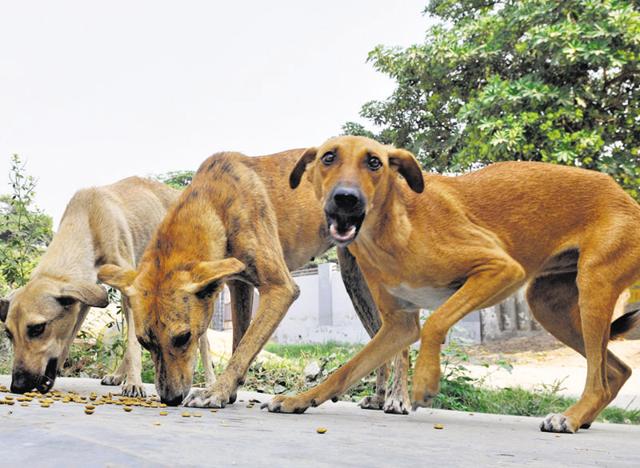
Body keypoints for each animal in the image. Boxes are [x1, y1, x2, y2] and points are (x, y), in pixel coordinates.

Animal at [0, 177, 215, 396]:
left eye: (38, 328)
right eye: (8, 333)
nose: (17, 386)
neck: (88, 218)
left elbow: (133, 344)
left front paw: (134, 382)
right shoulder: (86, 296)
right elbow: (70, 336)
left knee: (202, 341)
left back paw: (210, 382)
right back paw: (118, 375)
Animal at [100, 148, 410, 412]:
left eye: (183, 337)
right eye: (144, 342)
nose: (170, 399)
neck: (215, 203)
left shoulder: (280, 289)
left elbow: (245, 346)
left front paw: (216, 391)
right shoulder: (239, 286)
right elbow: (240, 341)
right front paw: (229, 391)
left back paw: (398, 398)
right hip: (354, 281)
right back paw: (380, 396)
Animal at [262, 133, 640, 434]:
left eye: (374, 162)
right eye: (328, 157)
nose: (346, 199)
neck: (392, 228)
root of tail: (626, 197)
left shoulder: (500, 269)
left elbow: (437, 322)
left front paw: (425, 382)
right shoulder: (397, 325)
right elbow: (346, 370)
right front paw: (300, 399)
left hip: (593, 286)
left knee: (599, 378)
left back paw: (571, 417)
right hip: (549, 306)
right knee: (617, 369)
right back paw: (584, 416)